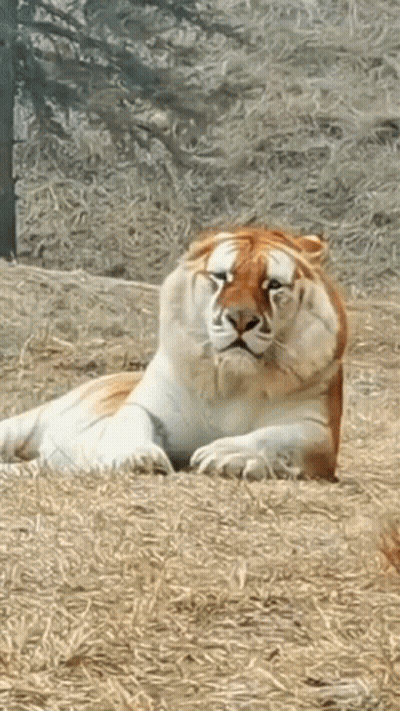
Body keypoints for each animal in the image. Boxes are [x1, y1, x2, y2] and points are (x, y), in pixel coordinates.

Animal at [0, 226, 347, 481]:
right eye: (222, 277)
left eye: (273, 284)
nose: (241, 319)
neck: (231, 380)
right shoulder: (147, 406)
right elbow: (133, 422)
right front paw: (139, 457)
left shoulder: (318, 430)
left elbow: (275, 437)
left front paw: (224, 455)